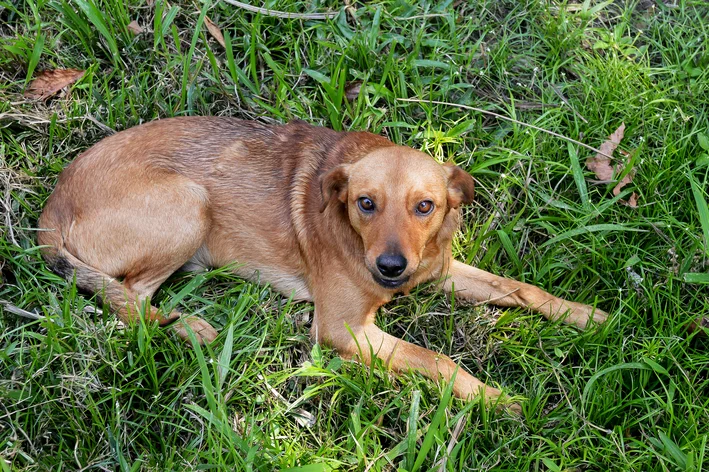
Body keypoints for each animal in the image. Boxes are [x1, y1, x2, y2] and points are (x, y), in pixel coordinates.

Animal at [37, 117, 604, 406]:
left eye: (425, 206)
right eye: (365, 203)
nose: (392, 268)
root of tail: (50, 209)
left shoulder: (437, 270)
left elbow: (523, 289)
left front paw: (589, 317)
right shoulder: (341, 328)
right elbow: (436, 359)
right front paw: (495, 399)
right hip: (188, 202)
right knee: (130, 299)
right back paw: (188, 326)